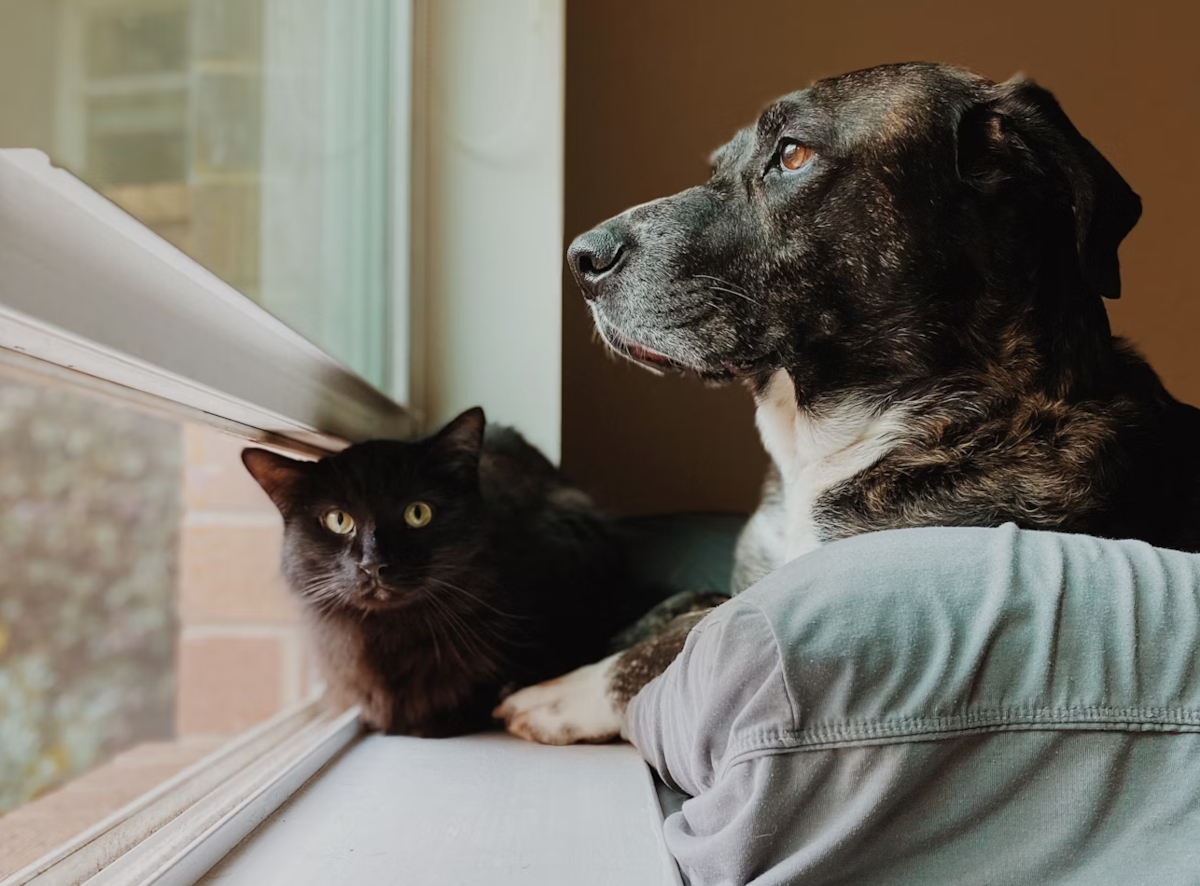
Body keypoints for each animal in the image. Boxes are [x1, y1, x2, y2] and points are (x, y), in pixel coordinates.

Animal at [492, 60, 1200, 744]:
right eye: (718, 166)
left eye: (793, 154)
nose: (580, 258)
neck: (824, 444)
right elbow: (679, 601)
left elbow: (694, 627)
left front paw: (567, 691)